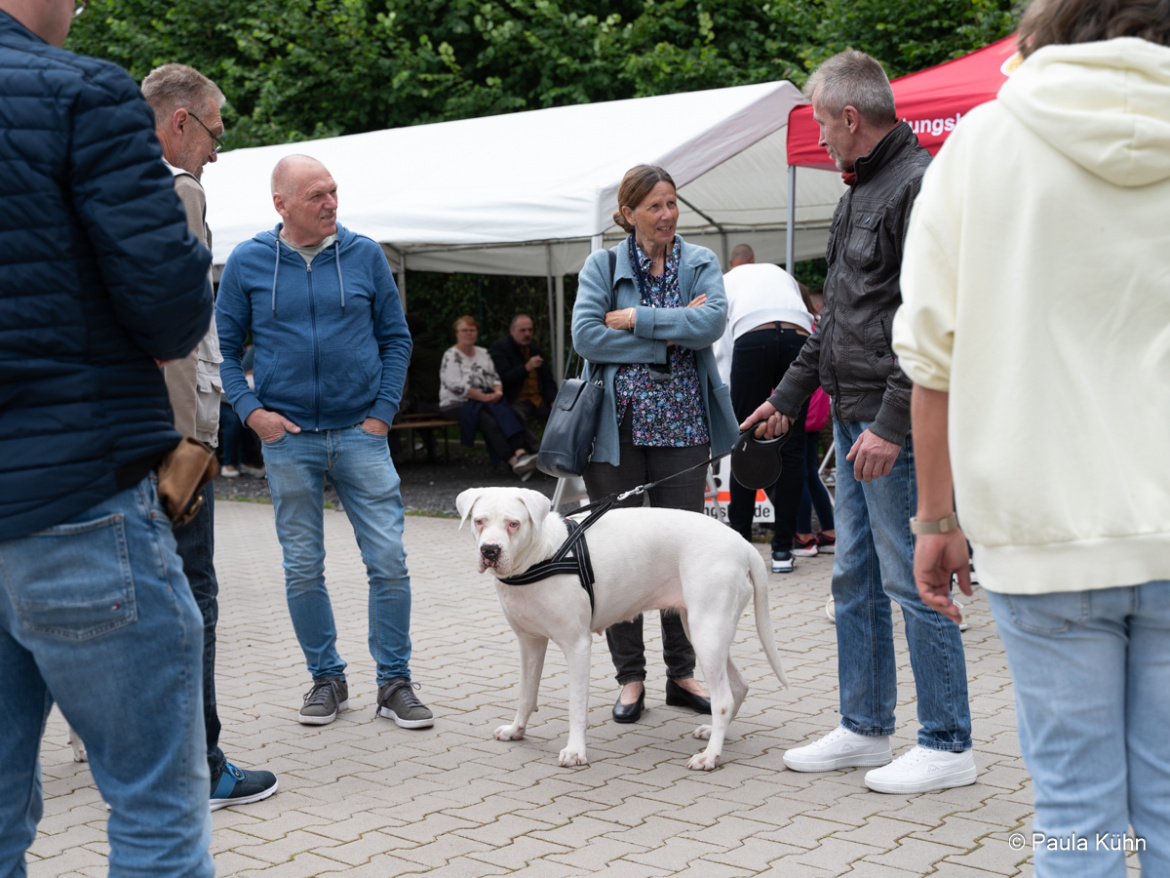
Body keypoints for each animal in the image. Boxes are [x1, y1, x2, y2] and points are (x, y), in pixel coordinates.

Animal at [456, 487, 788, 771]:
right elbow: (526, 694)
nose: (490, 551)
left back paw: (709, 757)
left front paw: (575, 751)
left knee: (722, 701)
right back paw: (713, 737)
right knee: (738, 687)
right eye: (479, 521)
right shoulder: (530, 643)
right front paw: (516, 730)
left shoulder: (577, 645)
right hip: (703, 631)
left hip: (707, 632)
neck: (540, 555)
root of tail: (743, 544)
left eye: (513, 523)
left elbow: (576, 705)